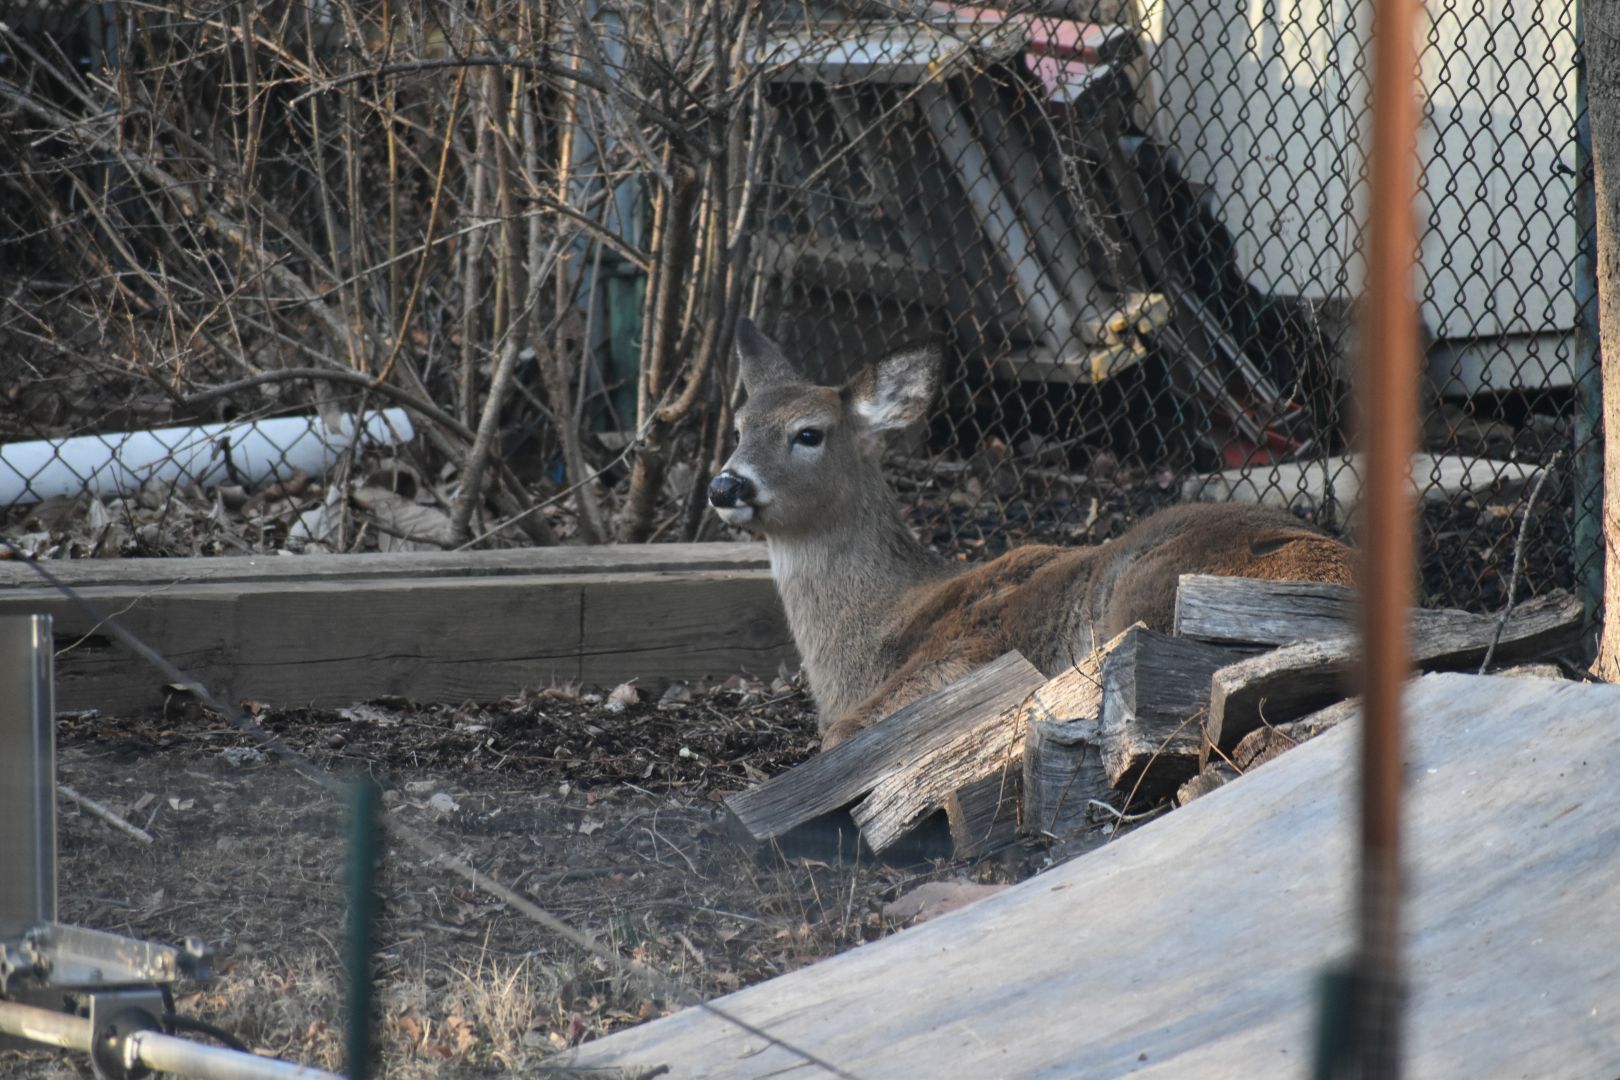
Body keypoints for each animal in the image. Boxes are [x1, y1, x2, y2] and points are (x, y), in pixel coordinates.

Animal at [709, 317, 1354, 748]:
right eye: (739, 427)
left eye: (808, 433)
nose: (724, 485)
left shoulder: (967, 652)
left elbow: (840, 733)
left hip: (1150, 593)